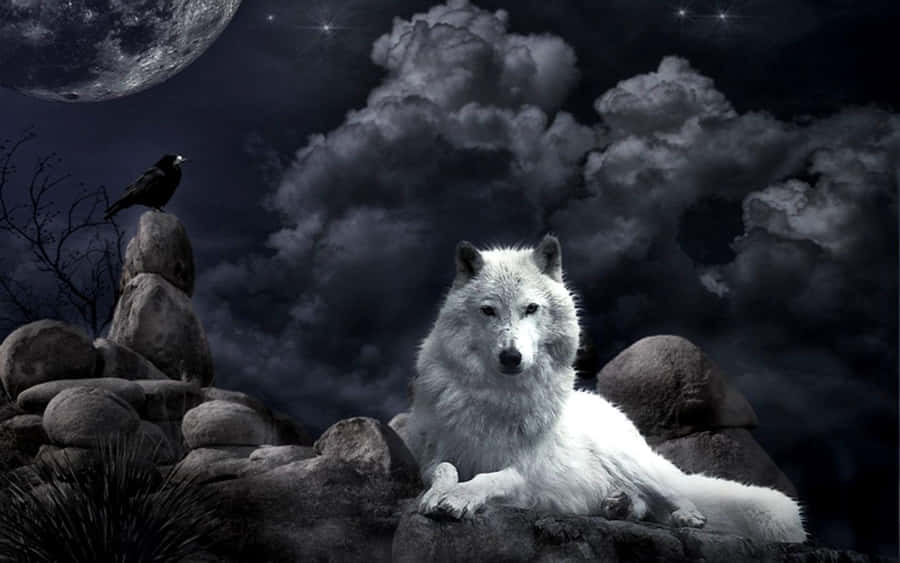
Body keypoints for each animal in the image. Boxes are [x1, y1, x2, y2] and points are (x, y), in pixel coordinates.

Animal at [404, 235, 806, 543]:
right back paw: (619, 505)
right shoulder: (434, 455)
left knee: (674, 495)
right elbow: (444, 470)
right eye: (488, 310)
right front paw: (438, 495)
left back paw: (684, 516)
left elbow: (488, 478)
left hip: (631, 460)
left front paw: (459, 498)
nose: (511, 356)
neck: (496, 397)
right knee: (645, 506)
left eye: (531, 308)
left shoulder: (523, 473)